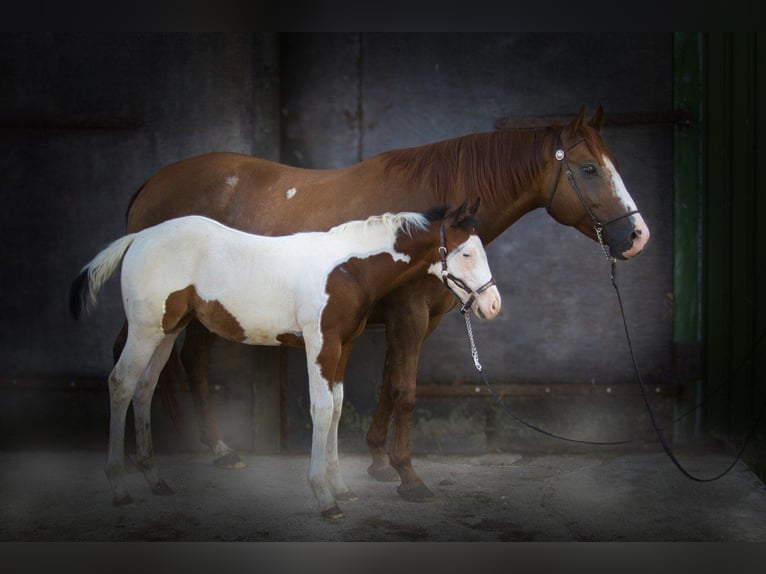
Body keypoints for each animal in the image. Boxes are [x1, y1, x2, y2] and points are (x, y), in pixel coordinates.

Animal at [70, 201, 501, 518]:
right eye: (466, 252)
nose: (493, 306)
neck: (347, 268)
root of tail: (138, 237)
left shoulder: (343, 345)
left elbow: (338, 406)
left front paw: (341, 487)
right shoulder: (320, 343)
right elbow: (321, 408)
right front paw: (325, 498)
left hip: (168, 329)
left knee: (144, 389)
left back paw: (155, 480)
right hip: (145, 330)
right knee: (121, 384)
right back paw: (120, 488)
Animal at [118, 106, 650, 502]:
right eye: (588, 170)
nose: (637, 236)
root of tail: (152, 183)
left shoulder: (410, 319)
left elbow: (388, 385)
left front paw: (376, 459)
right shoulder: (408, 315)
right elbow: (406, 391)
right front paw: (408, 476)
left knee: (188, 361)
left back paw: (212, 448)